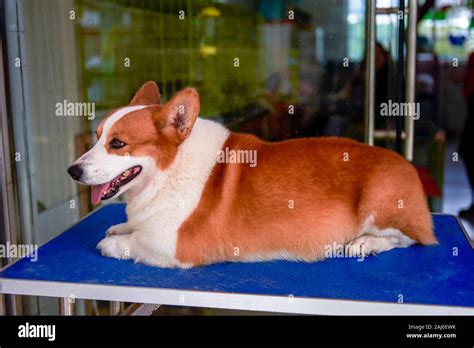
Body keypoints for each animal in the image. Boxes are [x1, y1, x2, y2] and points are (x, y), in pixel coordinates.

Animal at [67, 81, 436, 270]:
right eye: (97, 136)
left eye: (117, 144)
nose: (73, 170)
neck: (168, 171)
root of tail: (408, 165)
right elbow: (131, 226)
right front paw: (121, 225)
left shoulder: (173, 245)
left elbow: (134, 242)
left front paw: (112, 242)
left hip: (381, 201)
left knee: (410, 238)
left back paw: (365, 243)